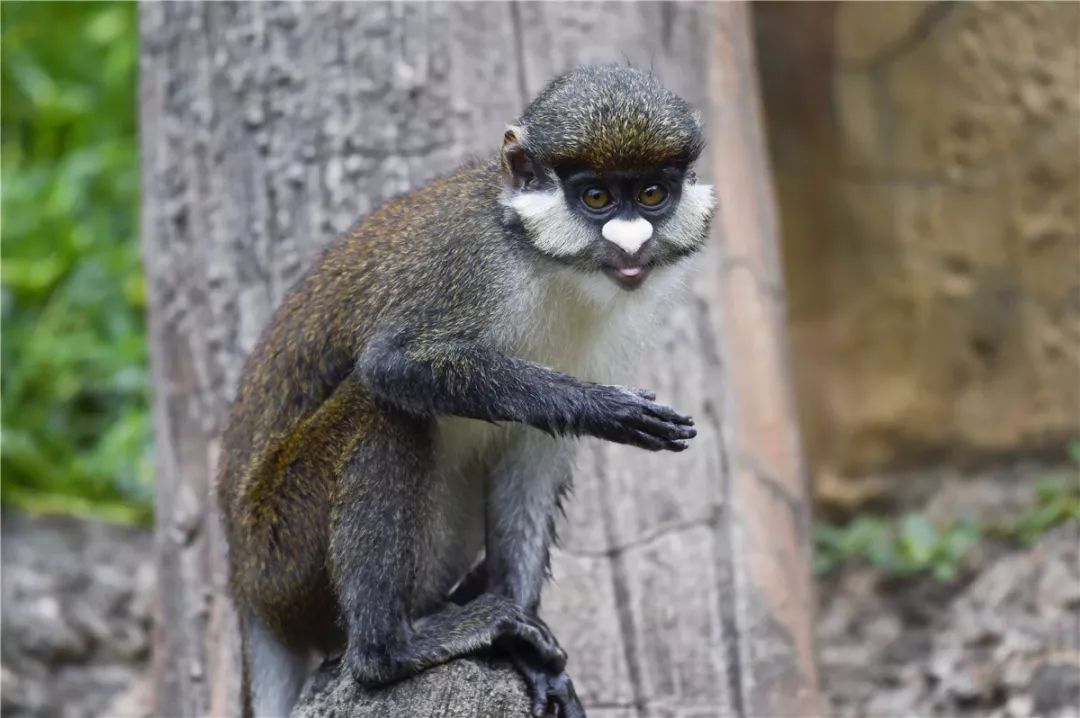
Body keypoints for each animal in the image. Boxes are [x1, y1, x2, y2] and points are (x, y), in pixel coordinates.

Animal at [214, 62, 712, 716]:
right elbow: (390, 365)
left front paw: (536, 663)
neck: (546, 261)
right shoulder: (472, 264)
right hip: (280, 552)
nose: (630, 244)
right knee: (379, 409)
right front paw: (603, 408)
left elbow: (533, 456)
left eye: (652, 194)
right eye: (597, 198)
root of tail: (242, 588)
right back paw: (387, 649)